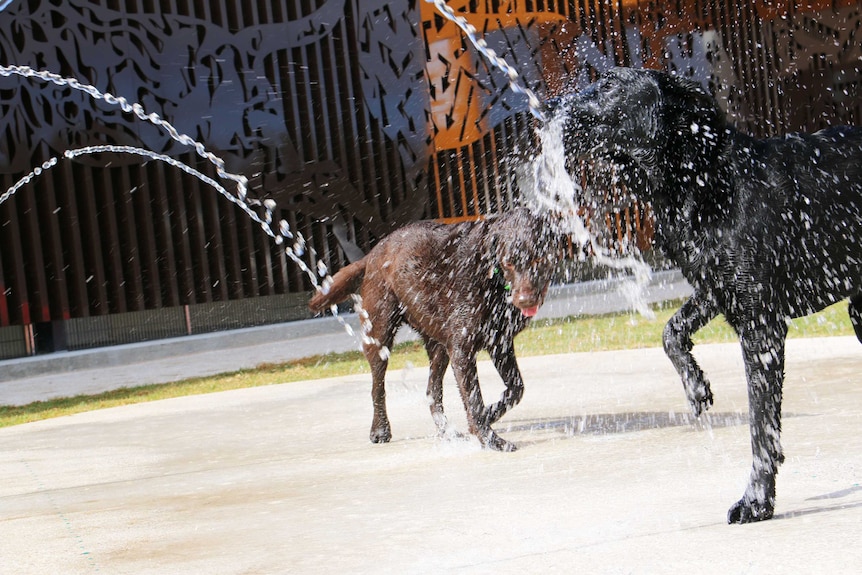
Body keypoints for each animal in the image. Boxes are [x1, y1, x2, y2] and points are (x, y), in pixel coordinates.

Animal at [310, 209, 560, 452]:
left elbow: (516, 389)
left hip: (439, 345)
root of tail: (372, 253)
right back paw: (380, 430)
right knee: (377, 386)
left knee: (432, 392)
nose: (525, 300)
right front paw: (491, 440)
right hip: (380, 335)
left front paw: (488, 417)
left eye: (539, 258)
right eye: (508, 263)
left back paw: (446, 431)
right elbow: (474, 400)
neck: (490, 275)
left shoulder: (500, 342)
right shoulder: (462, 350)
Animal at [552, 67, 862, 520]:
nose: (550, 106)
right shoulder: (714, 289)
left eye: (609, 84)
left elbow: (761, 427)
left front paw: (757, 501)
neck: (698, 179)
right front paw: (695, 384)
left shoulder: (761, 327)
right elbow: (671, 331)